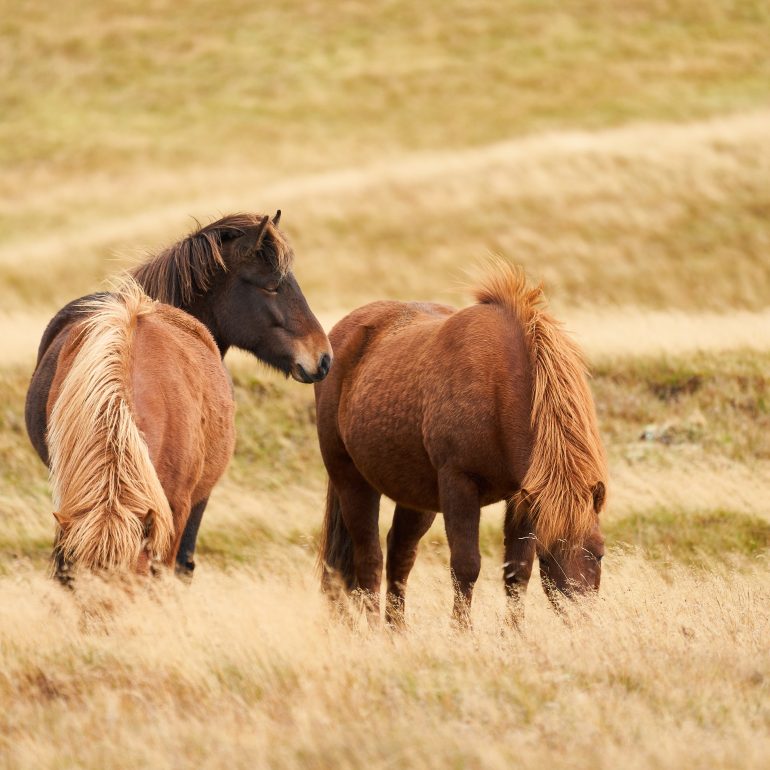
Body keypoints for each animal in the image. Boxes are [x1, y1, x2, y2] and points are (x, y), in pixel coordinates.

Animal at [315, 263, 607, 627]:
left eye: (599, 553)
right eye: (549, 554)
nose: (583, 619)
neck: (501, 385)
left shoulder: (523, 496)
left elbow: (517, 572)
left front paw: (514, 634)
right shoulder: (459, 484)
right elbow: (466, 566)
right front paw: (462, 632)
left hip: (416, 495)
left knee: (400, 554)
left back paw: (398, 631)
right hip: (352, 481)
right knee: (369, 559)